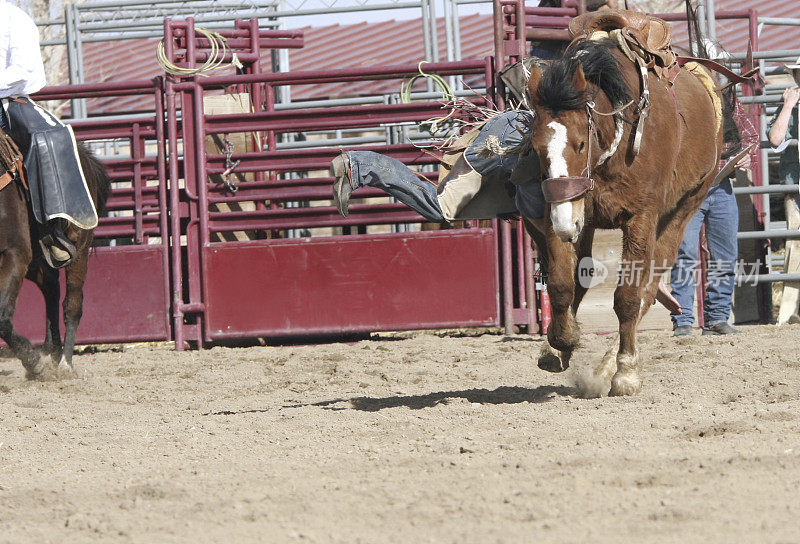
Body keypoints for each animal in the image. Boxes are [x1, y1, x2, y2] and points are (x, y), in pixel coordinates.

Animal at [0, 142, 110, 376]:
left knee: (72, 303)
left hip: (80, 244)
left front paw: (34, 362)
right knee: (50, 284)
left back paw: (65, 363)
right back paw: (53, 349)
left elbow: (2, 316)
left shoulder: (15, 254)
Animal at [524, 38, 724, 396]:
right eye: (536, 148)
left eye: (580, 144)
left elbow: (628, 297)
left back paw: (611, 365)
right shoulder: (562, 212)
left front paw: (626, 372)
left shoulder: (640, 217)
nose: (565, 225)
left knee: (649, 285)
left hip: (685, 207)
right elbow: (562, 283)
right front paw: (561, 341)